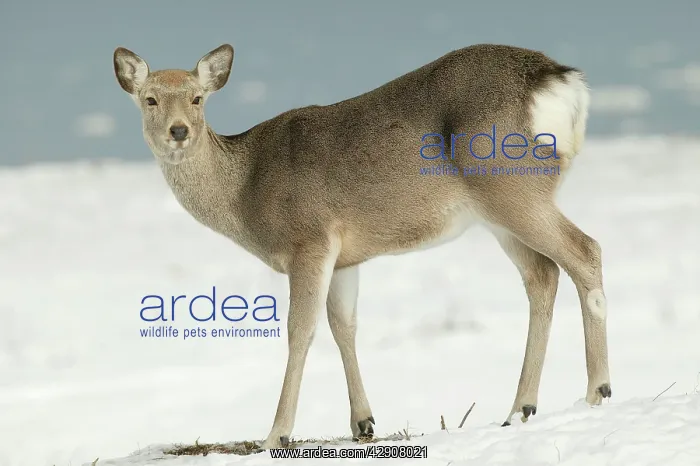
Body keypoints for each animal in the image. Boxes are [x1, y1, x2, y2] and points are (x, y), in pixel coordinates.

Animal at [113, 43, 612, 449]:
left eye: (198, 98)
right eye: (150, 99)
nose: (179, 130)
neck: (245, 191)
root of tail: (561, 81)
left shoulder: (310, 239)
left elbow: (300, 331)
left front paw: (276, 433)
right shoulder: (344, 256)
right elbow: (343, 326)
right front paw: (363, 422)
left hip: (510, 186)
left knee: (585, 251)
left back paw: (597, 391)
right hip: (499, 211)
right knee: (543, 275)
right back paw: (519, 409)